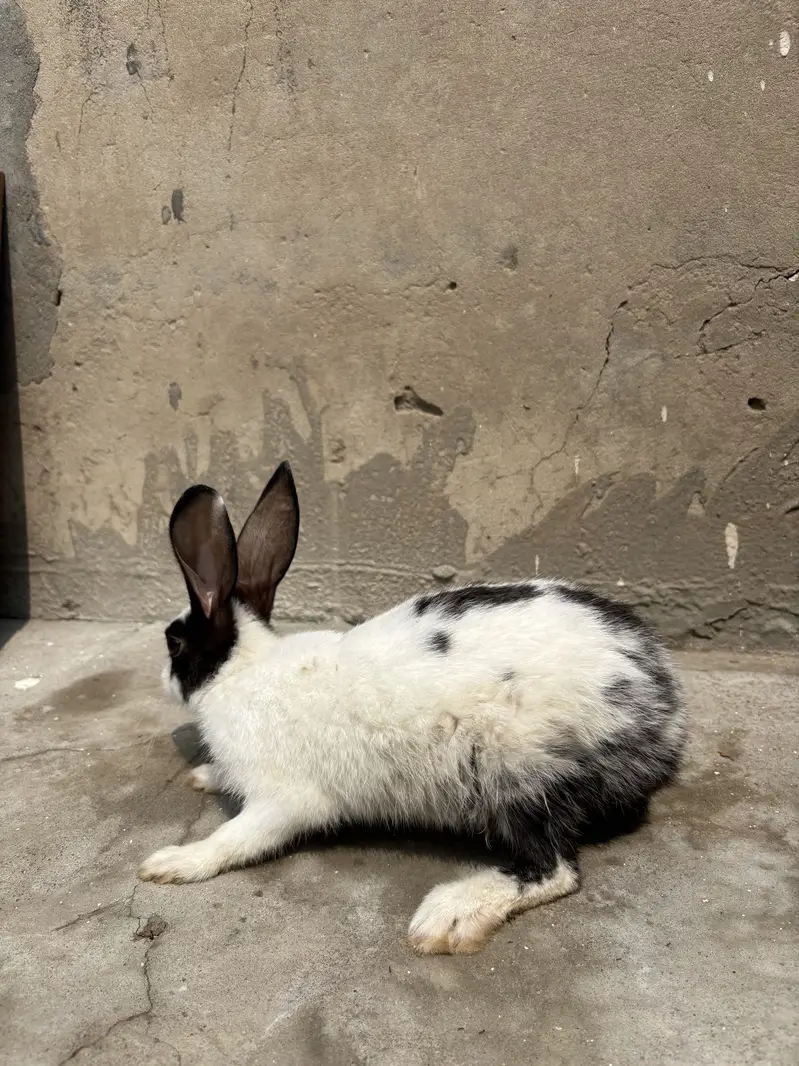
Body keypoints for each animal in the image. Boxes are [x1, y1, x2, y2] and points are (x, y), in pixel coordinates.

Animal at [139, 461, 686, 955]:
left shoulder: (285, 799)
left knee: (554, 868)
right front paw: (205, 776)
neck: (242, 672)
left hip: (519, 774)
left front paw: (172, 862)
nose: (160, 678)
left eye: (174, 643)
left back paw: (447, 916)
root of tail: (666, 716)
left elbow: (232, 839)